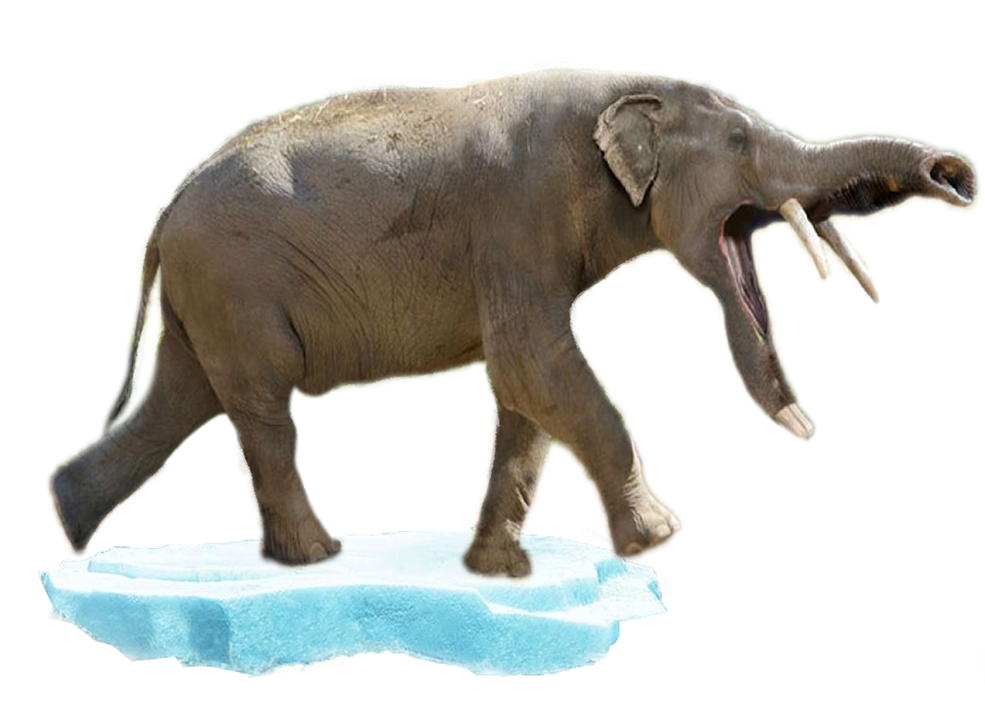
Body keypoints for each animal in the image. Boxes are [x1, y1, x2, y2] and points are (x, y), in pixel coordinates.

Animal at [47, 62, 980, 577]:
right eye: (746, 147)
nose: (958, 175)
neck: (625, 91)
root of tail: (163, 216)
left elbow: (527, 394)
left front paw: (498, 572)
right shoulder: (516, 215)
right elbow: (537, 366)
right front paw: (662, 541)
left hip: (211, 298)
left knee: (189, 403)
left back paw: (75, 532)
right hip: (236, 284)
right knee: (261, 408)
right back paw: (315, 560)